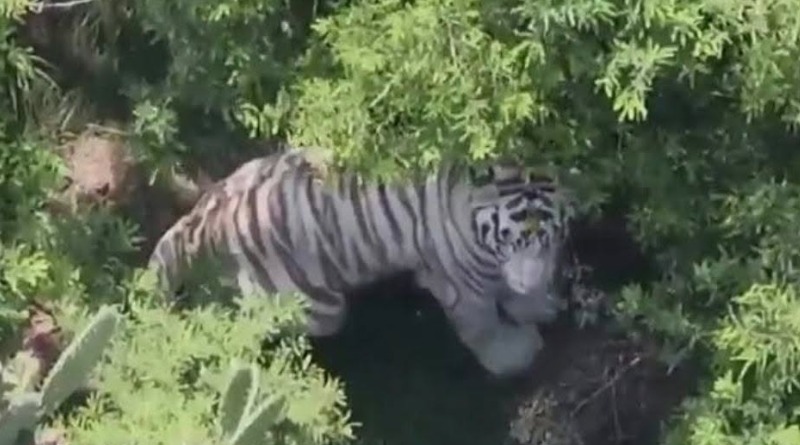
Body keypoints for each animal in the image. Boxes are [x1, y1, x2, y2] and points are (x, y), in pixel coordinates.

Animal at [147, 146, 575, 377]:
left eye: (548, 237)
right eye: (509, 239)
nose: (530, 282)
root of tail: (207, 217)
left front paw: (537, 303)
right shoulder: (462, 281)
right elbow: (483, 326)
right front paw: (515, 353)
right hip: (318, 308)